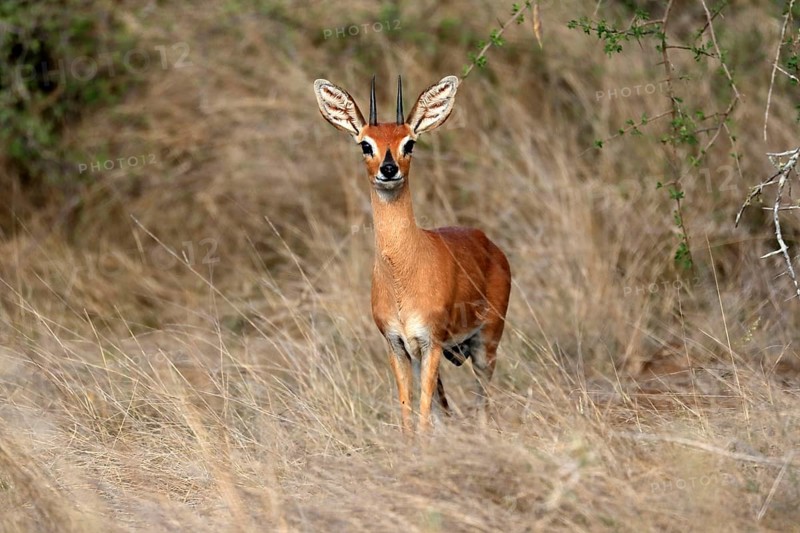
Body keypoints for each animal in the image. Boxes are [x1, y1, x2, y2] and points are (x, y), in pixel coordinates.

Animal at [313, 75, 511, 432]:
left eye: (409, 143)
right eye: (366, 144)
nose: (389, 168)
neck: (402, 275)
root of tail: (490, 243)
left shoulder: (431, 342)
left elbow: (422, 414)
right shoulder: (397, 344)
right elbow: (409, 411)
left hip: (486, 343)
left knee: (483, 402)